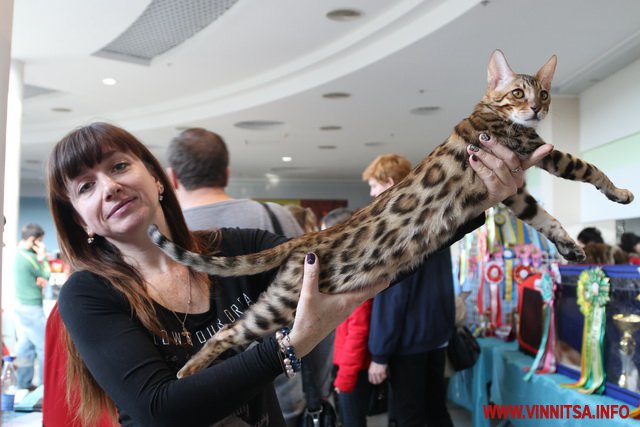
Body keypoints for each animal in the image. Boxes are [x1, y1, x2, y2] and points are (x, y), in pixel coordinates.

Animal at [150, 49, 636, 378]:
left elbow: (544, 217)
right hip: (287, 302)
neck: (490, 111)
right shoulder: (533, 151)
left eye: (546, 93)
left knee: (228, 332)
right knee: (229, 333)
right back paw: (190, 372)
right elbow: (587, 166)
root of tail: (307, 238)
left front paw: (571, 247)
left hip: (278, 300)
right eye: (518, 93)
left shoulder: (513, 190)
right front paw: (620, 192)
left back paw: (191, 368)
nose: (536, 109)